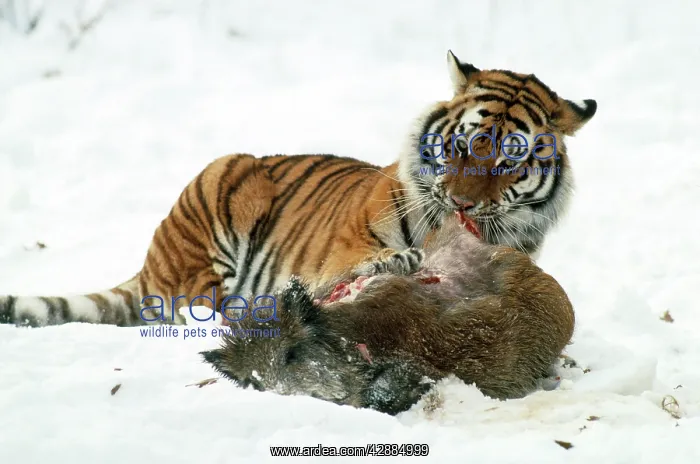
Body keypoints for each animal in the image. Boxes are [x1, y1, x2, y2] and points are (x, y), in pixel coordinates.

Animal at [0, 51, 597, 327]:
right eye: (463, 144)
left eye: (509, 160)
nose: (461, 202)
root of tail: (152, 263)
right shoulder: (341, 251)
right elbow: (359, 264)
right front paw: (391, 265)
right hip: (221, 184)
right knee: (195, 306)